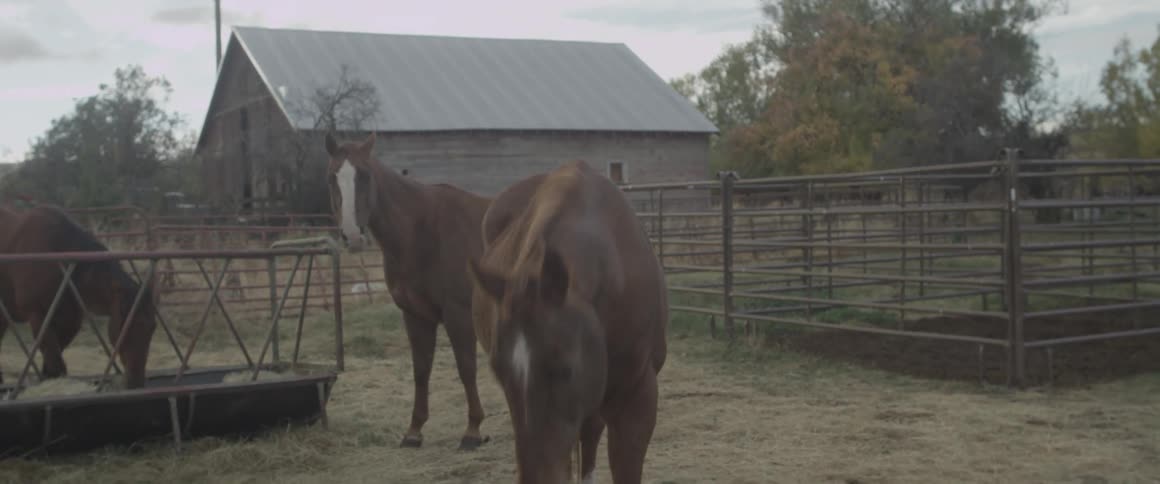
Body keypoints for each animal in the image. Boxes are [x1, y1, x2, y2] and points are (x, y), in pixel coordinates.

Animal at [0, 204, 158, 390]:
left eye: (152, 327)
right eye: (126, 325)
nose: (136, 382)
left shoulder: (70, 320)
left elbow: (54, 359)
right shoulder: (37, 315)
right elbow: (55, 363)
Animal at [323, 132, 494, 450]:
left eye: (364, 176)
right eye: (332, 177)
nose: (352, 236)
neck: (422, 231)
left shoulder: (459, 314)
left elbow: (466, 368)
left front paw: (473, 430)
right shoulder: (414, 315)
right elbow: (421, 370)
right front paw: (414, 431)